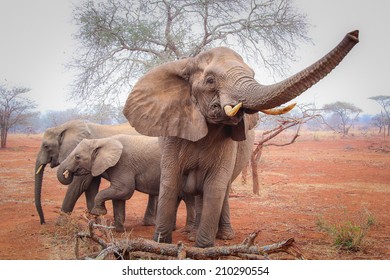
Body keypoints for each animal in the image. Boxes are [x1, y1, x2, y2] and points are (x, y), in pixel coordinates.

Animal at [56, 134, 195, 232]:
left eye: (77, 157)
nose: (68, 173)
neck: (102, 141)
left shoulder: (123, 165)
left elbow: (125, 190)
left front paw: (98, 212)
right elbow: (119, 197)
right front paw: (119, 230)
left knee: (188, 198)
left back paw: (187, 232)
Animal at [124, 30, 360, 247]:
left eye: (253, 74)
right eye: (210, 80)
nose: (354, 35)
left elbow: (215, 186)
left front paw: (203, 247)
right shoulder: (173, 133)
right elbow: (170, 182)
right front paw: (161, 243)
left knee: (223, 189)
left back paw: (223, 236)